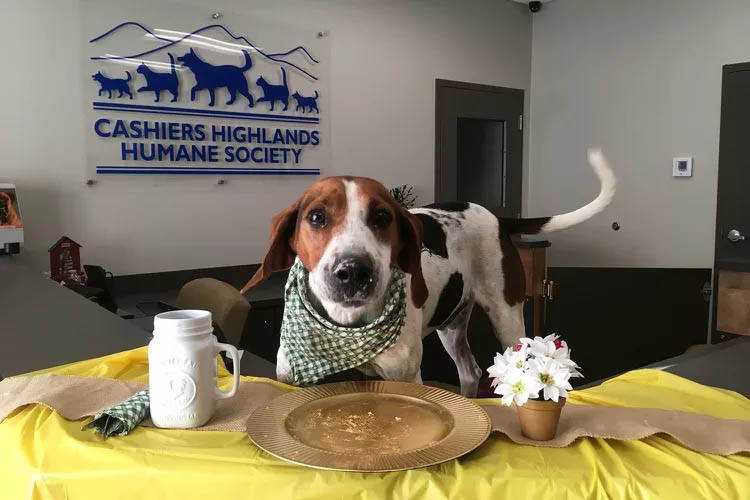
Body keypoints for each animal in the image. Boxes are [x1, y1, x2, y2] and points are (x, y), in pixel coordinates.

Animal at [242, 148, 616, 394]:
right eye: (316, 217)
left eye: (382, 217)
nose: (353, 271)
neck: (346, 326)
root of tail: (497, 218)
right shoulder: (292, 379)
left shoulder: (405, 377)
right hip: (451, 324)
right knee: (471, 372)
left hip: (507, 317)